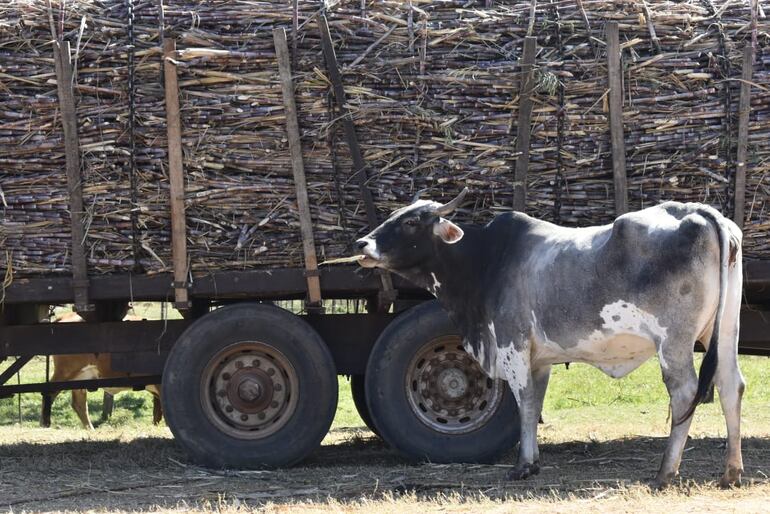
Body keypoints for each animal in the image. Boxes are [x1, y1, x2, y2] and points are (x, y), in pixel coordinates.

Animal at [355, 188, 744, 488]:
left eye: (410, 222)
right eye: (395, 215)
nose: (363, 243)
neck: (485, 260)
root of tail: (698, 211)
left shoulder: (512, 345)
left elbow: (525, 402)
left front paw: (523, 466)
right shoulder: (540, 359)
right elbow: (536, 401)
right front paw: (534, 461)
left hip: (673, 342)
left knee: (685, 393)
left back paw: (665, 473)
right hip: (725, 331)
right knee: (730, 385)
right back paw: (730, 472)